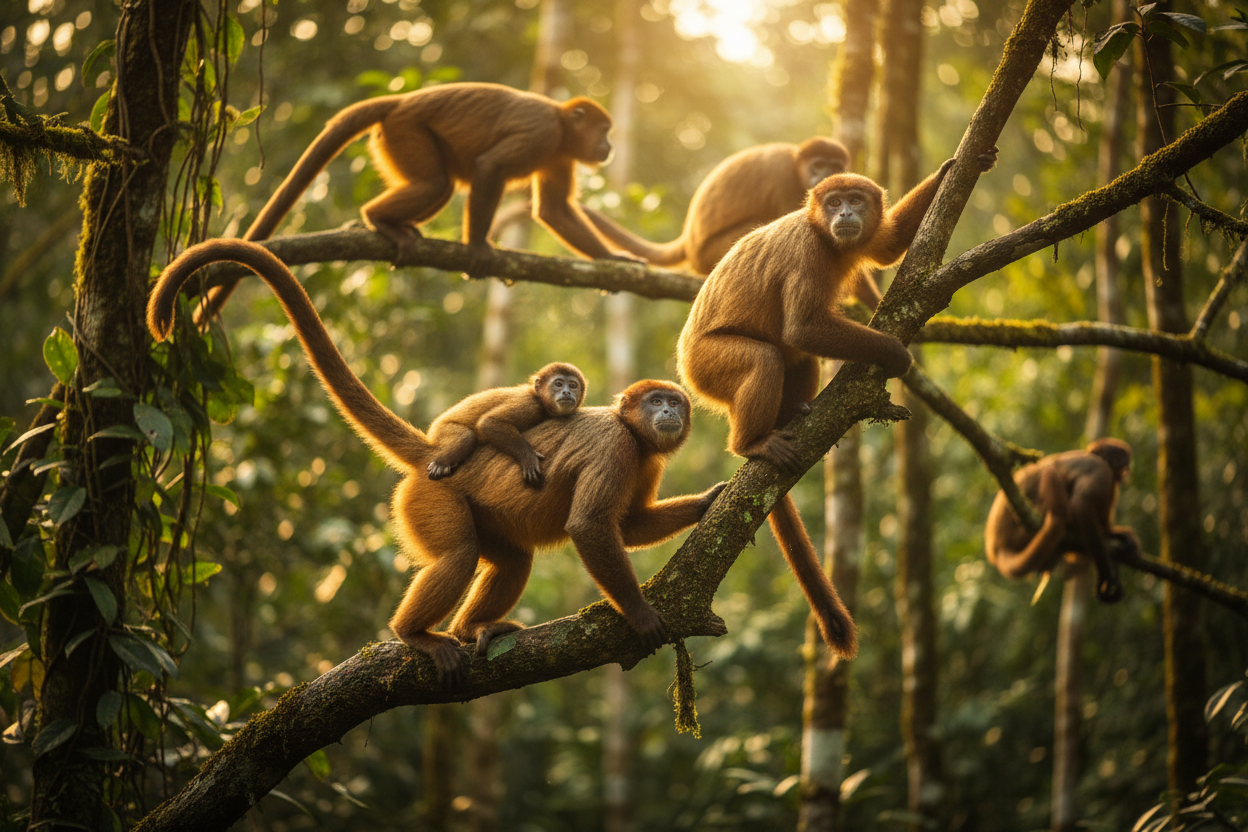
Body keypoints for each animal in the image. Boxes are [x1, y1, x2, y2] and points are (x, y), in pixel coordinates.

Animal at [199, 82, 643, 320]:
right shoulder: (542, 135)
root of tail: (400, 101)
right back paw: (378, 220)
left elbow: (553, 209)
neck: (563, 128)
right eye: (603, 130)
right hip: (405, 132)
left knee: (440, 186)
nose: (608, 146)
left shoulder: (561, 153)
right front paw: (478, 247)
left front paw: (613, 260)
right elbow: (489, 167)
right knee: (435, 183)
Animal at [425, 362, 586, 486]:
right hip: (441, 429)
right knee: (467, 436)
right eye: (558, 384)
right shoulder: (529, 404)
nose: (567, 392)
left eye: (573, 385)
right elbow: (489, 422)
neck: (541, 401)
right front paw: (528, 457)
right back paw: (441, 464)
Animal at [675, 152, 996, 659]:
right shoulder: (808, 250)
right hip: (704, 367)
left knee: (795, 356)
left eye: (856, 201)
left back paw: (792, 415)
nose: (844, 213)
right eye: (833, 203)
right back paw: (751, 443)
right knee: (769, 354)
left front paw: (960, 164)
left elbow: (887, 247)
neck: (825, 237)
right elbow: (804, 328)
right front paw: (893, 352)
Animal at [985, 438, 1137, 603]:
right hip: (1022, 532)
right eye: (1121, 459)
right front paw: (1105, 577)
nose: (1127, 467)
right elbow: (1082, 506)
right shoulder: (1101, 471)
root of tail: (997, 546)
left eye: (1126, 461)